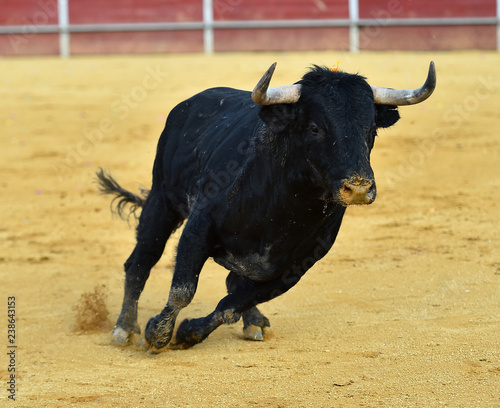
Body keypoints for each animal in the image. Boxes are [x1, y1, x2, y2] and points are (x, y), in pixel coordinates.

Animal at [96, 62, 434, 352]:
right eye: (314, 128)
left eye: (371, 129)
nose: (359, 188)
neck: (284, 206)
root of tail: (190, 104)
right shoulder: (198, 228)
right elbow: (182, 291)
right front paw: (157, 334)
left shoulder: (295, 266)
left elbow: (230, 306)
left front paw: (190, 332)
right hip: (162, 200)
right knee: (140, 261)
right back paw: (125, 328)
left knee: (233, 284)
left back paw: (254, 322)